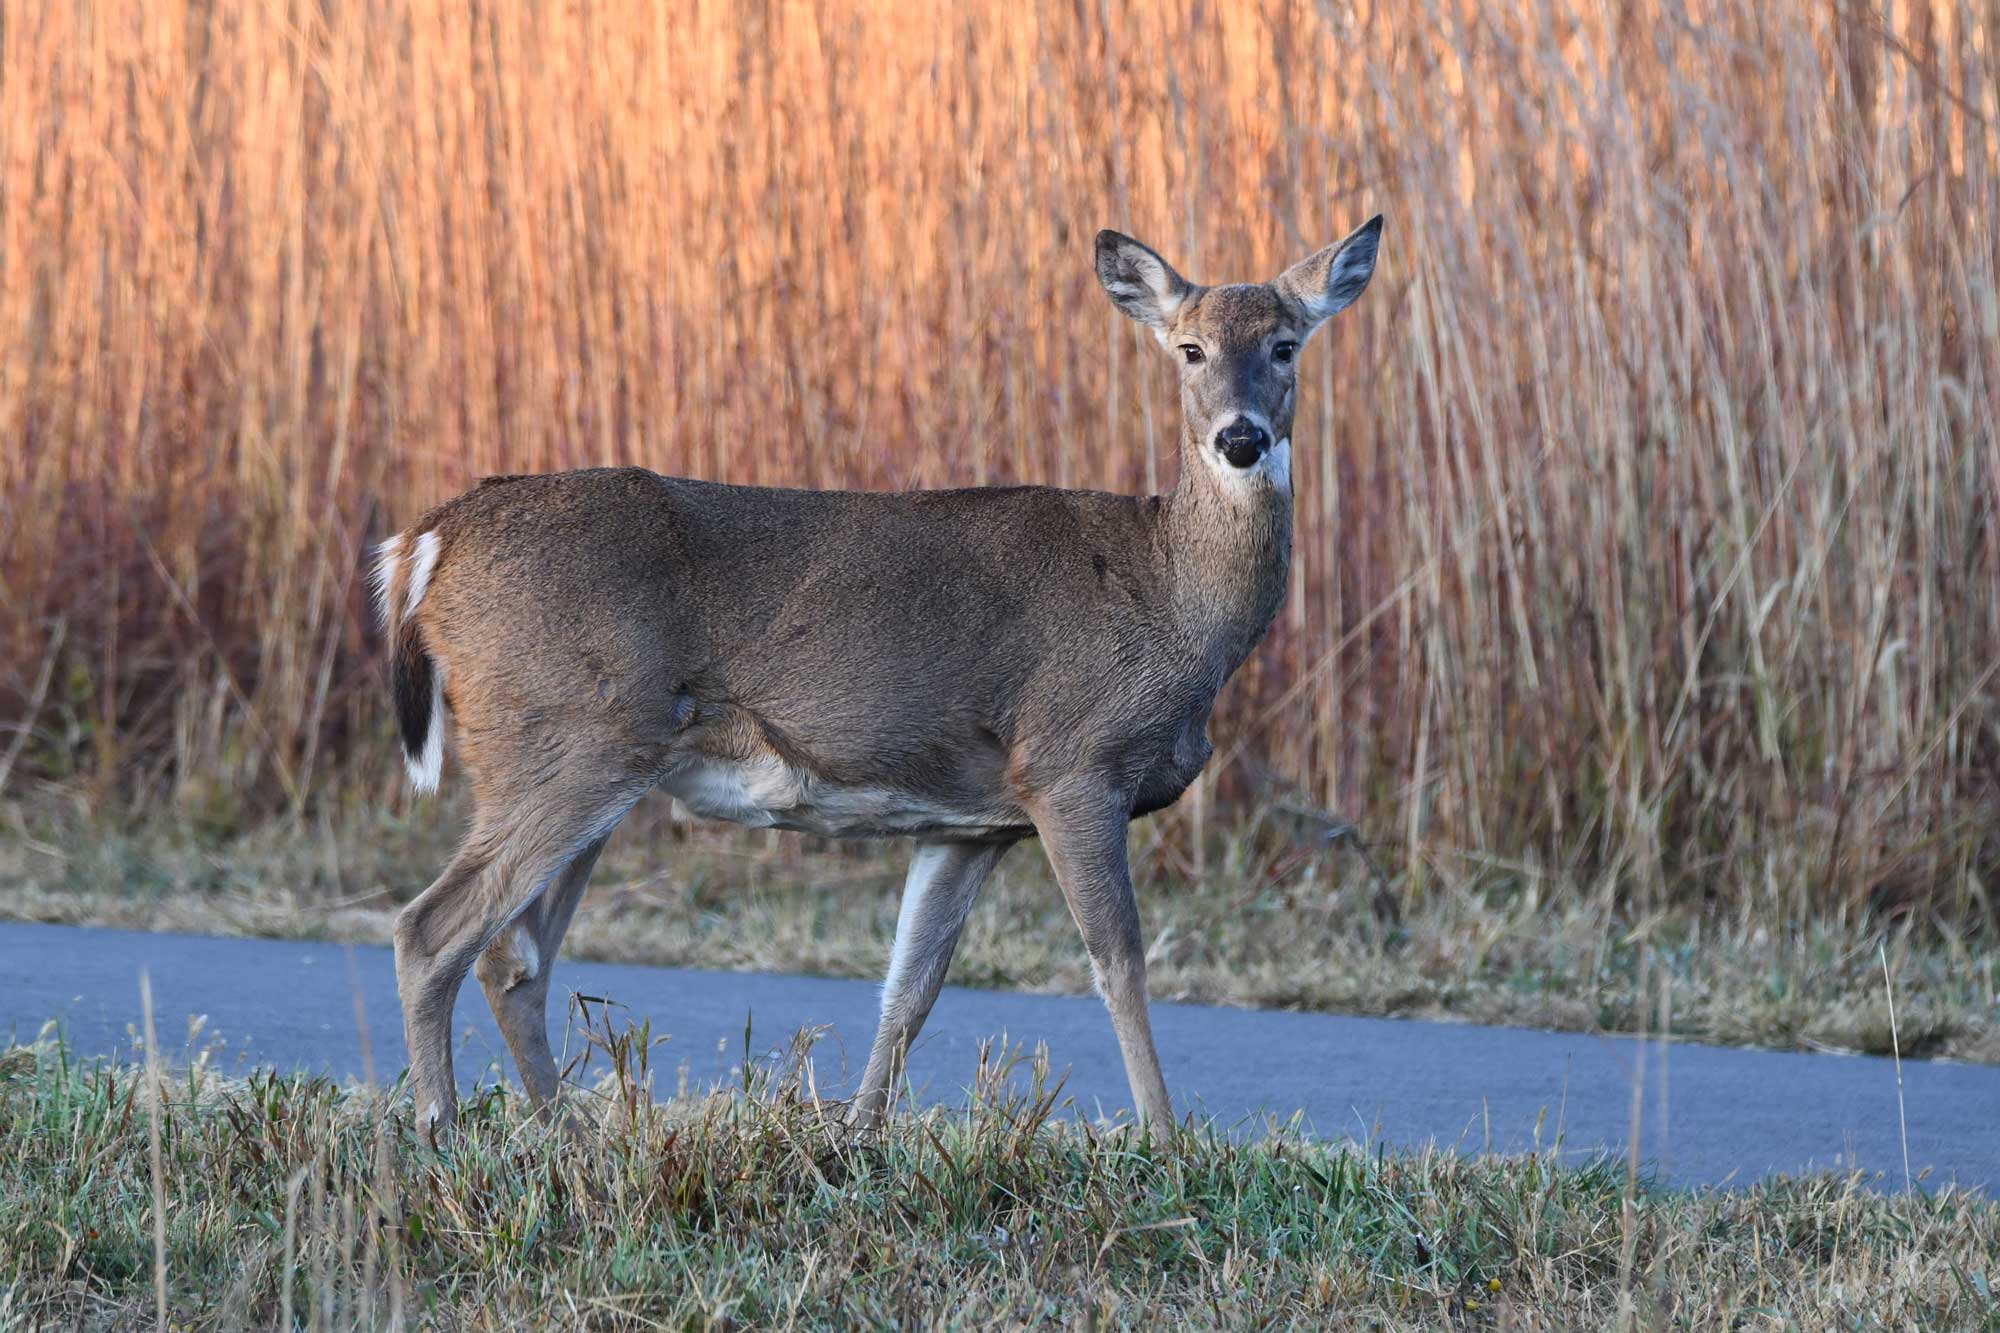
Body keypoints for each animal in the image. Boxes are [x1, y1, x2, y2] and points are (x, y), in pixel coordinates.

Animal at [370, 215, 1383, 1146]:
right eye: (1190, 348)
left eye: (1286, 345)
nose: (1242, 437)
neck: (1172, 600)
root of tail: (431, 537)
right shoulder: (1073, 761)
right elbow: (1120, 962)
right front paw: (1168, 1143)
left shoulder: (973, 820)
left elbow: (911, 987)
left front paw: (857, 1136)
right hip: (565, 733)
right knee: (433, 927)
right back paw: (441, 1127)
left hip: (592, 754)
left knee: (515, 958)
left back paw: (568, 1131)